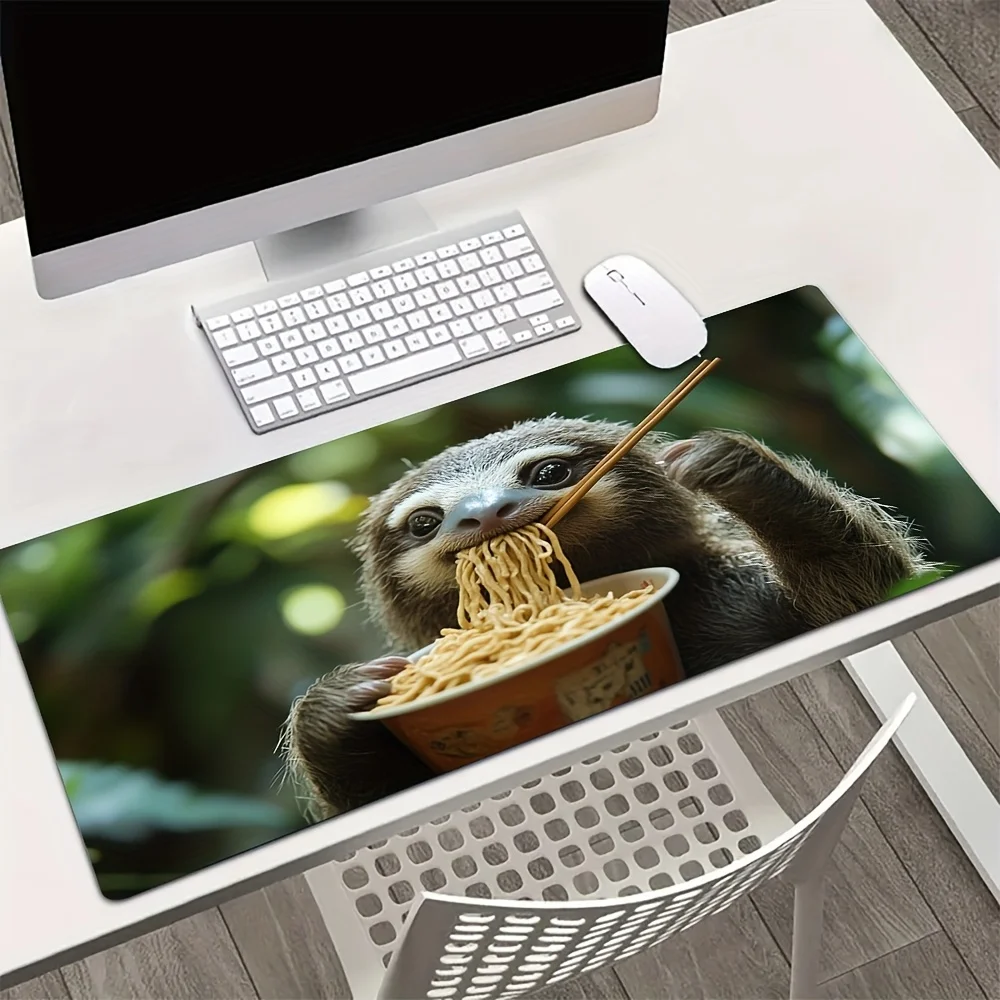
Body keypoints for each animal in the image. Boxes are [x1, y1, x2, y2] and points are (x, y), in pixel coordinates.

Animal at [284, 418, 930, 819]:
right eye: (423, 522)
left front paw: (746, 472)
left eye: (548, 473)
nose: (485, 513)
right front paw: (332, 709)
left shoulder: (737, 589)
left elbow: (871, 591)